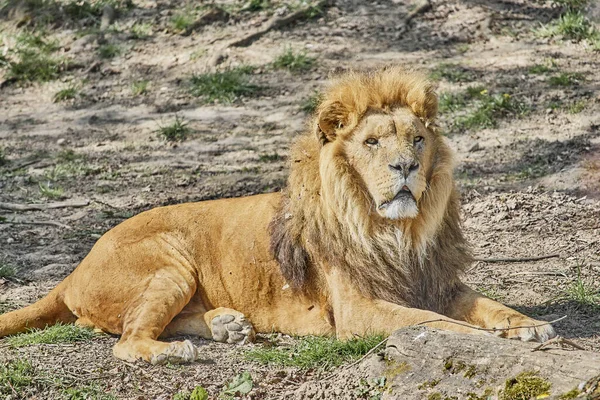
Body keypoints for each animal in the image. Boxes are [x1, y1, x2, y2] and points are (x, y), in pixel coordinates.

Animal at [0, 67, 556, 364]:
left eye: (417, 139)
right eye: (373, 143)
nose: (407, 166)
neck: (396, 229)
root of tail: (73, 270)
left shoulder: (435, 281)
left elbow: (489, 304)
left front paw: (529, 326)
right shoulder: (358, 310)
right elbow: (435, 323)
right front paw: (488, 340)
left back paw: (227, 326)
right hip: (168, 263)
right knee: (126, 341)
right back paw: (171, 351)